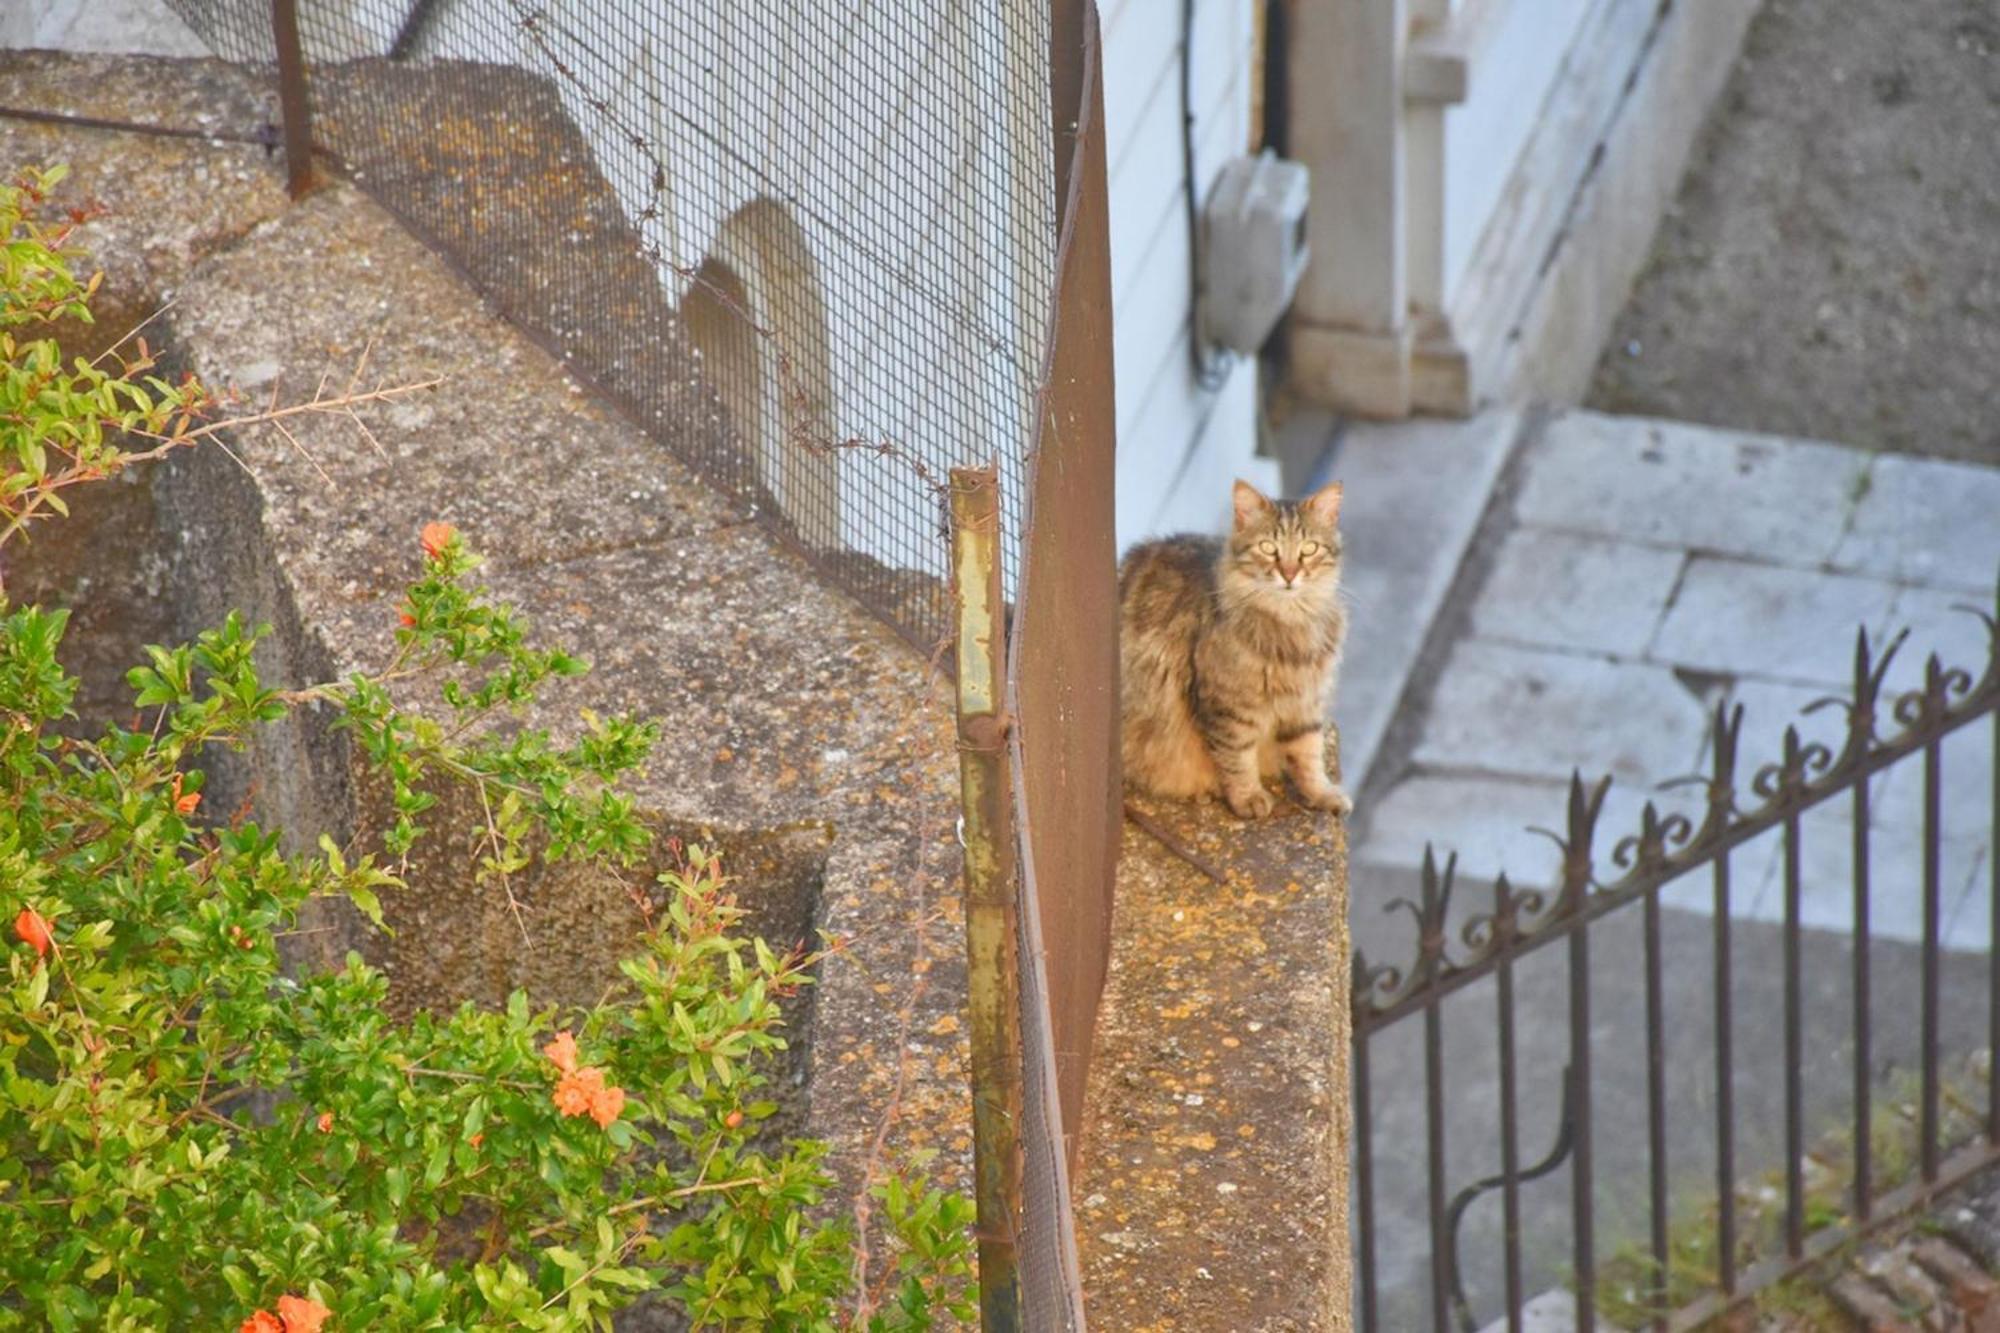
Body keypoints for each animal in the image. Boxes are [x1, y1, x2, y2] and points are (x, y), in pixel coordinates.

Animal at [1120, 472, 1352, 816]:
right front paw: (1248, 798)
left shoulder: (1306, 703)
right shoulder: (1228, 708)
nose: (1289, 574)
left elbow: (1310, 756)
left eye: (1309, 549)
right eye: (1268, 548)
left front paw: (1322, 794)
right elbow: (1237, 759)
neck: (1291, 625)